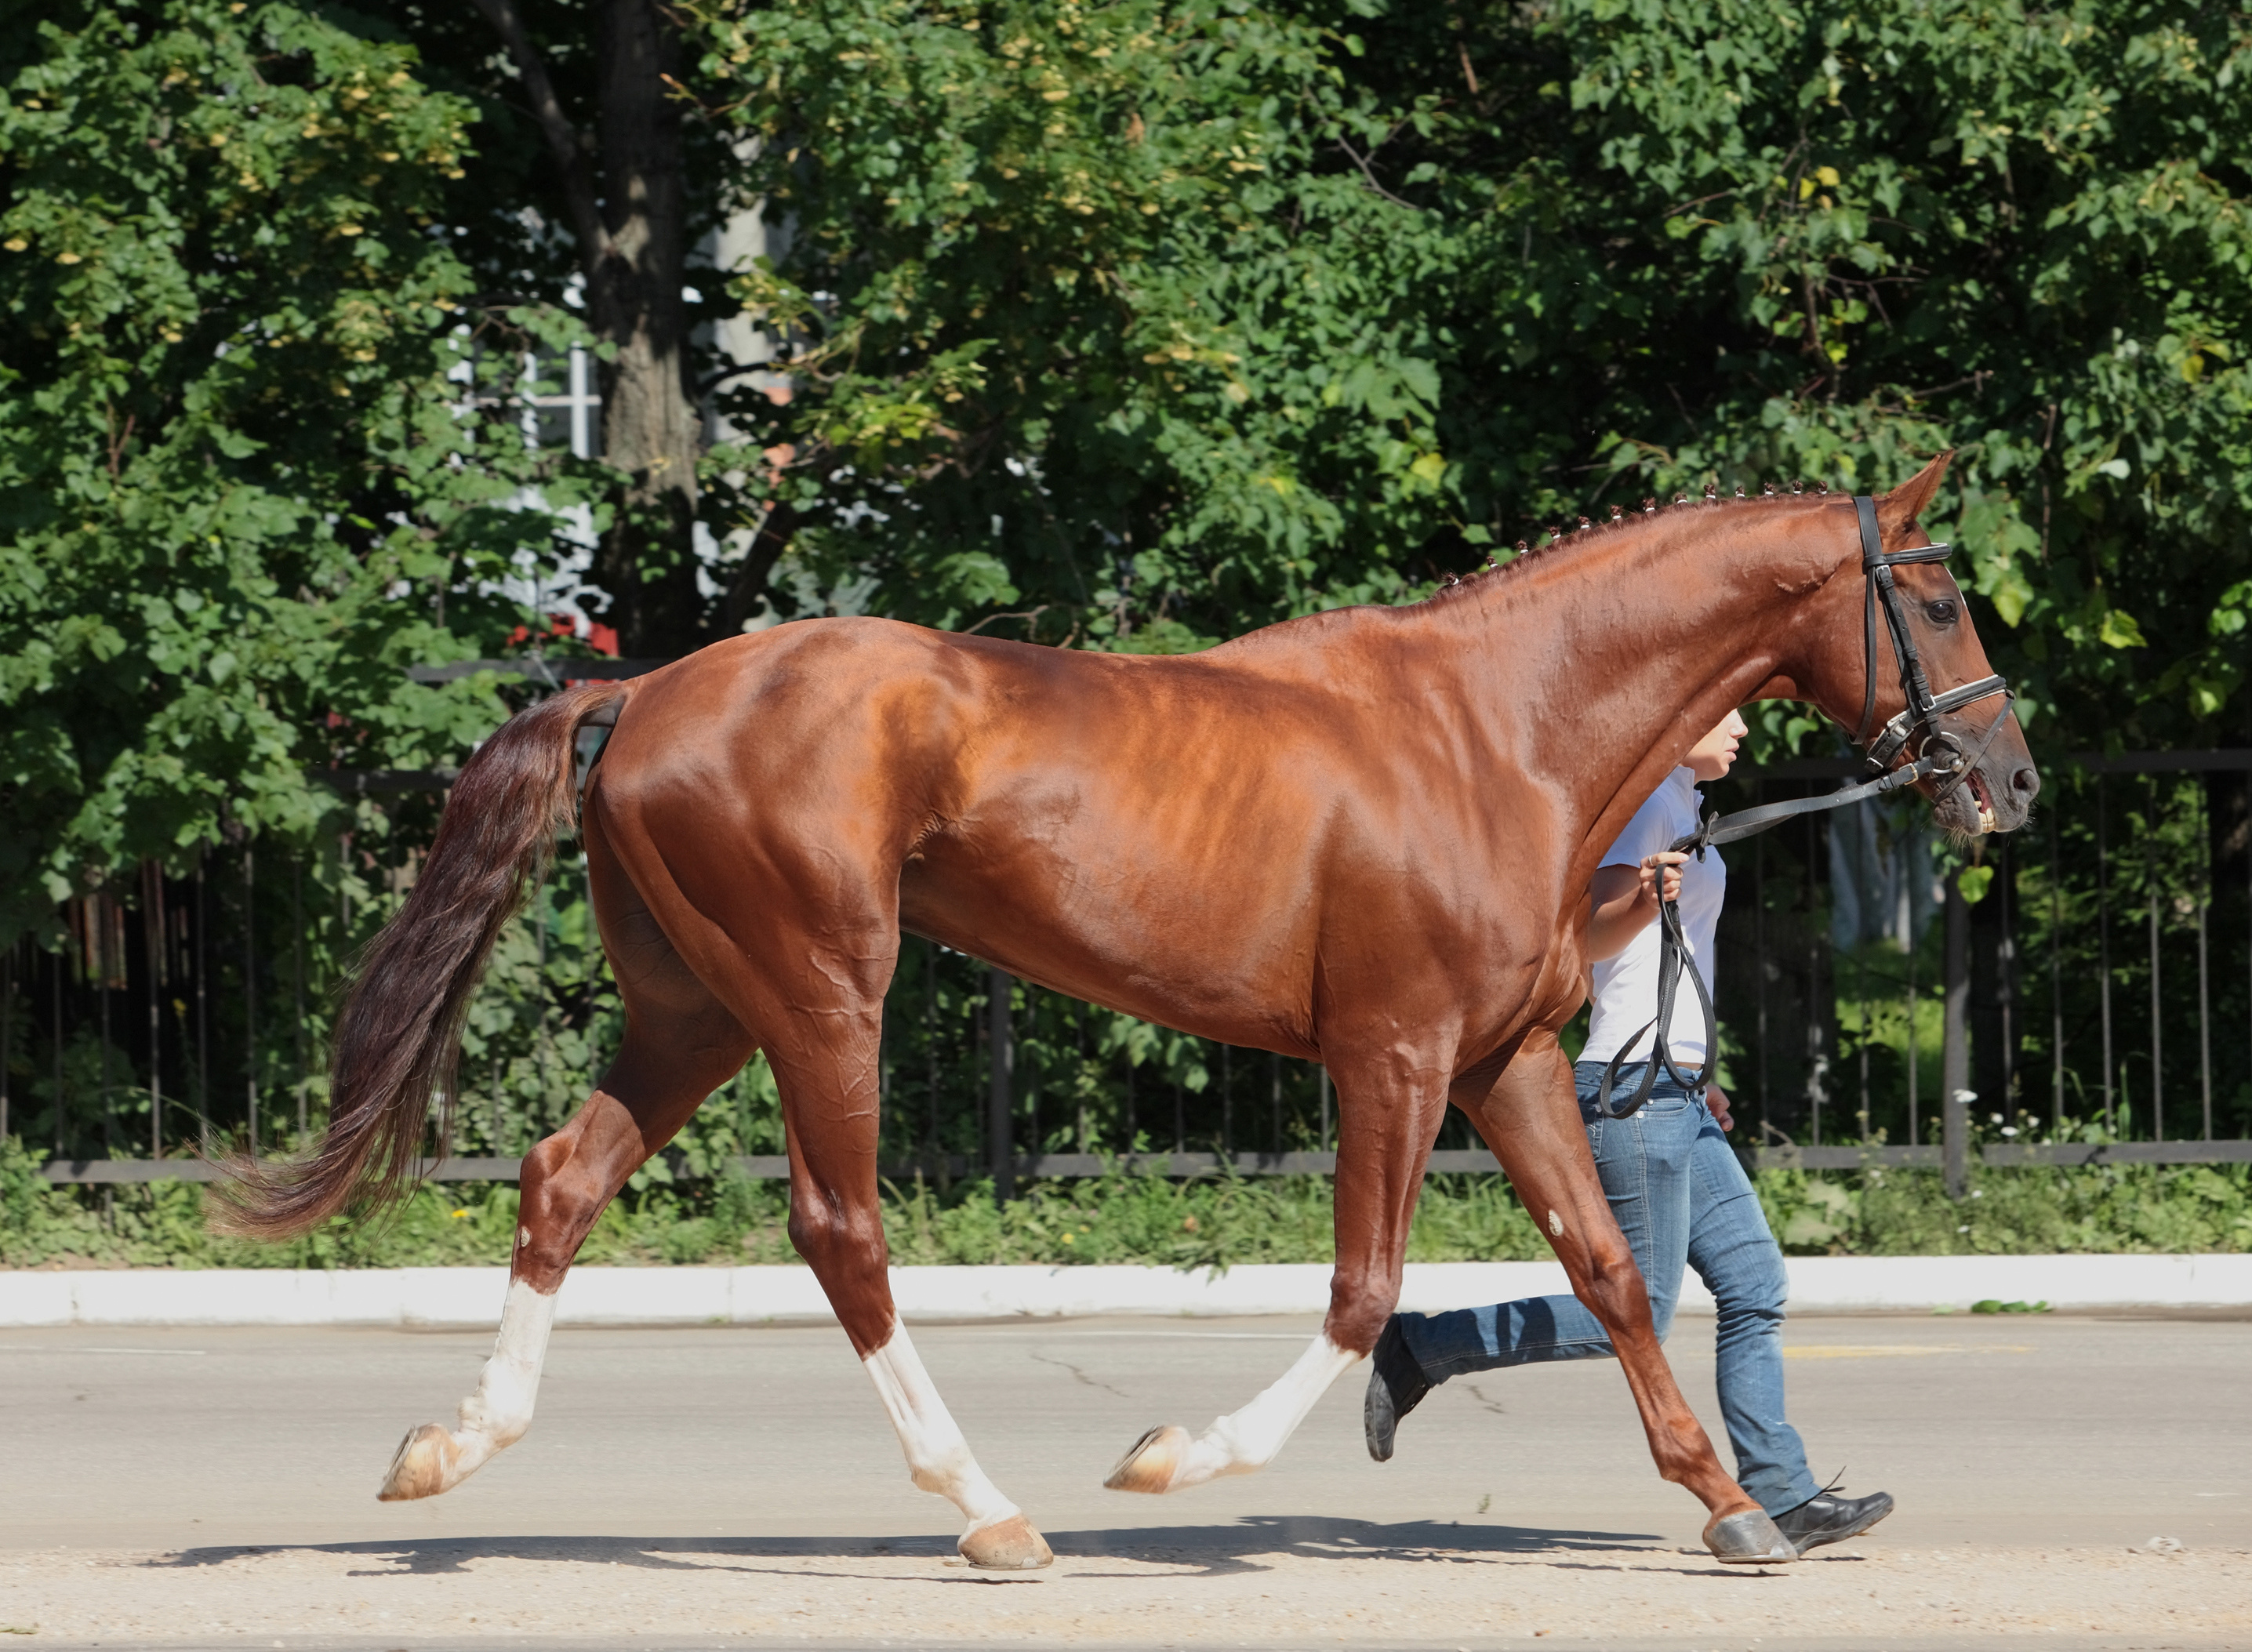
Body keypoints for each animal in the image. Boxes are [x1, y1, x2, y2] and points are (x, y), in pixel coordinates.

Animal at [221, 451, 2036, 1570]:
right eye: (1938, 592)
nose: (2008, 780)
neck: (1494, 731)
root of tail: (639, 685)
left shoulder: (1506, 1059)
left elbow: (1605, 1272)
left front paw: (1735, 1507)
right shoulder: (1390, 1057)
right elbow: (1365, 1292)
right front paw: (1173, 1456)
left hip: (694, 1011)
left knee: (562, 1176)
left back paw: (450, 1449)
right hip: (817, 994)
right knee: (839, 1228)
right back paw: (986, 1509)